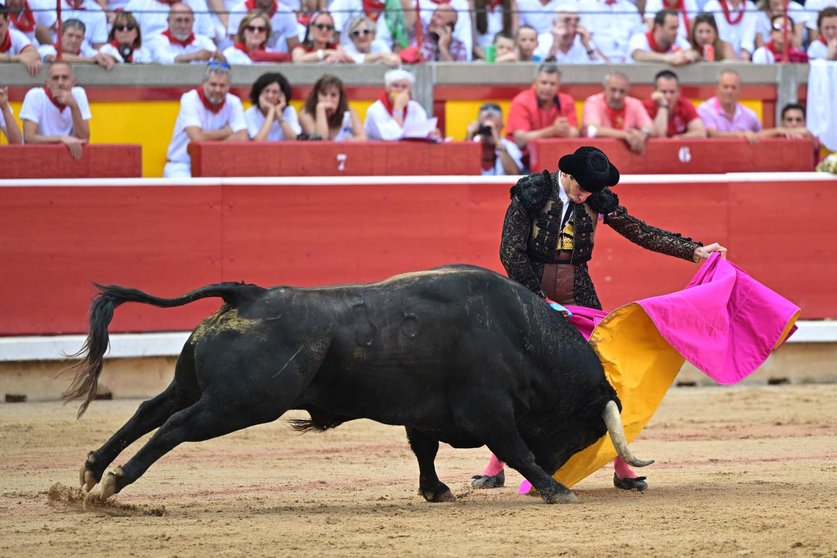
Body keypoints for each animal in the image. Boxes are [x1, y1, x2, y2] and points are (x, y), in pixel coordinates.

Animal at [67, 264, 652, 506]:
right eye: (578, 432)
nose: (560, 471)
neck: (520, 334)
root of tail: (248, 294)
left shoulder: (425, 411)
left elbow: (424, 451)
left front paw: (435, 491)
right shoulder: (489, 410)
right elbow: (514, 448)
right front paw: (554, 490)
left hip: (198, 385)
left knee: (150, 409)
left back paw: (92, 470)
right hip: (239, 403)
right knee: (173, 427)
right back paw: (115, 482)